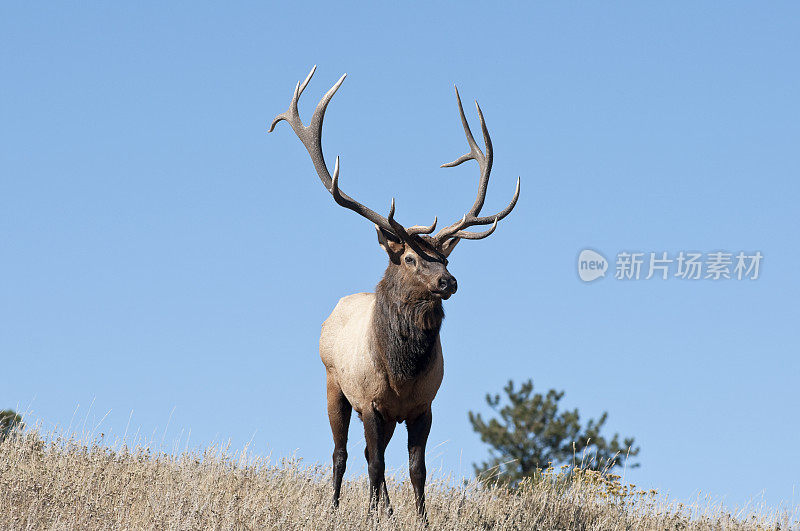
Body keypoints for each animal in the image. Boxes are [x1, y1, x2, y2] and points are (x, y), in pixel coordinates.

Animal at [268, 66, 520, 520]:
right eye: (411, 259)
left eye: (446, 258)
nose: (449, 282)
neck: (402, 373)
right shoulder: (371, 402)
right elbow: (374, 464)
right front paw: (369, 514)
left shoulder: (423, 406)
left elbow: (417, 468)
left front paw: (419, 518)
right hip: (334, 385)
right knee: (344, 453)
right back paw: (338, 507)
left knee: (374, 453)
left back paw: (384, 507)